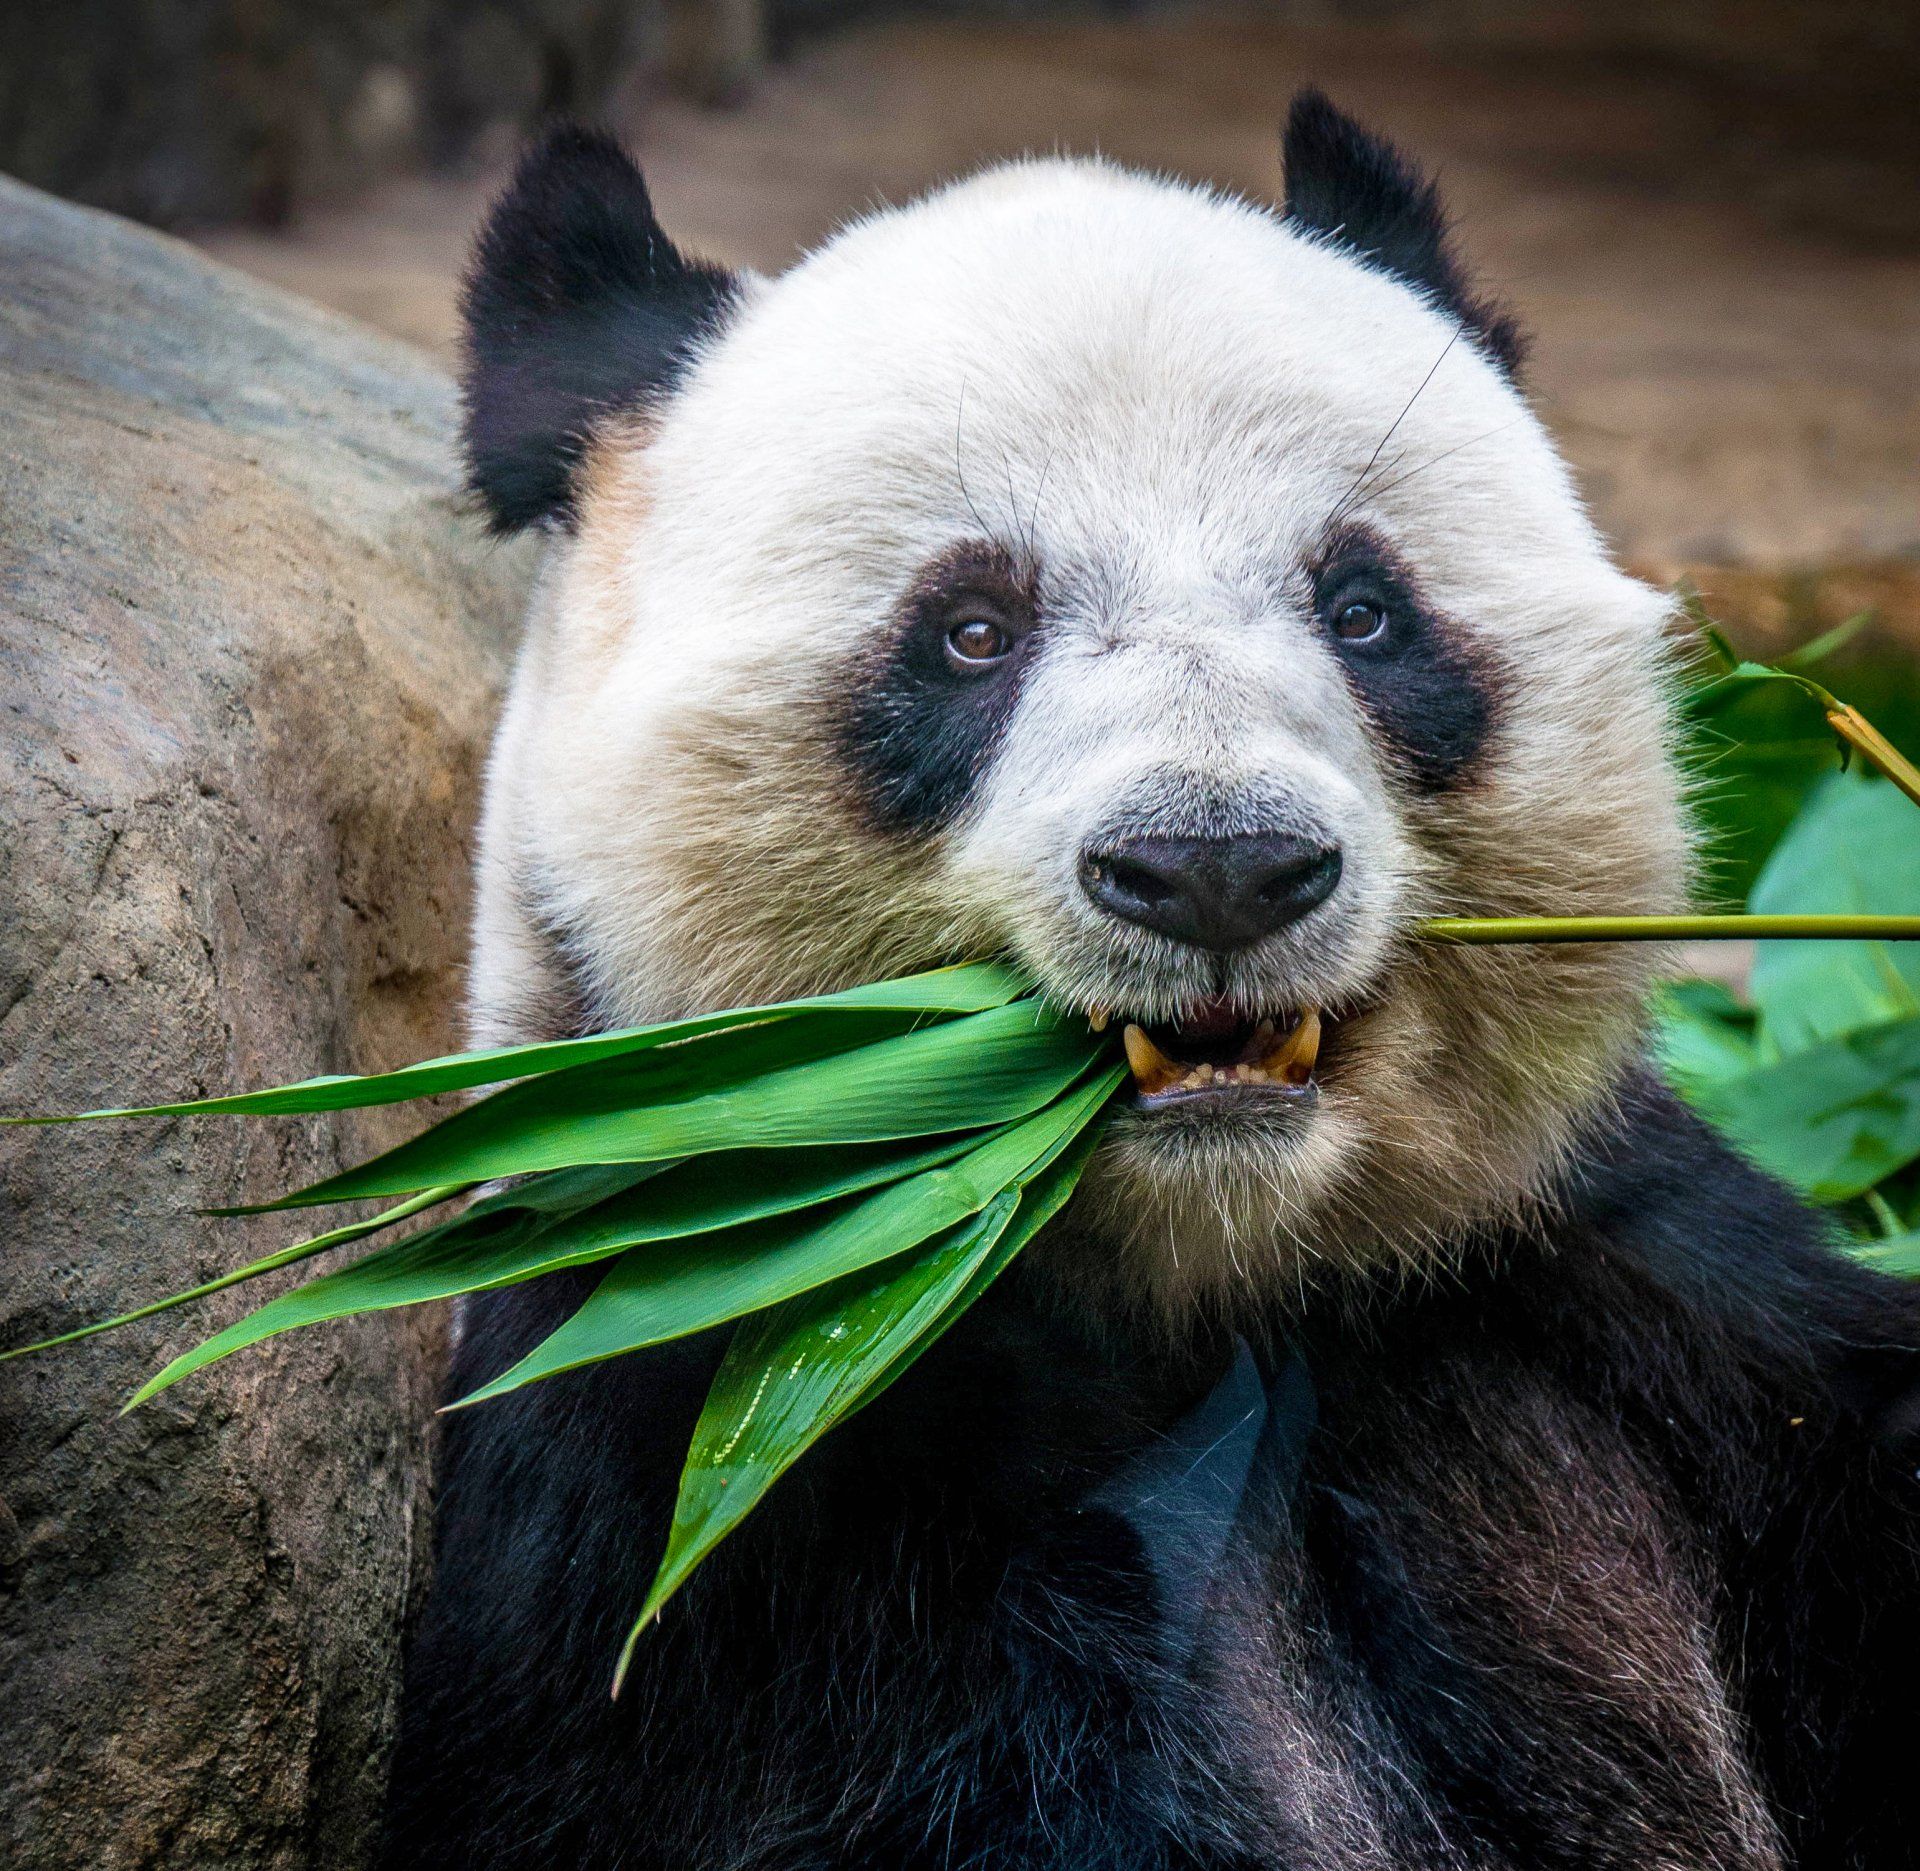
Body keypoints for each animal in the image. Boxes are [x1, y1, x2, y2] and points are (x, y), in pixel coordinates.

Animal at [383, 95, 1920, 1870]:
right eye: (973, 629)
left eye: (1363, 607)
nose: (1217, 866)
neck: (1196, 1271)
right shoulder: (720, 1445)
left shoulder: (1613, 1284)